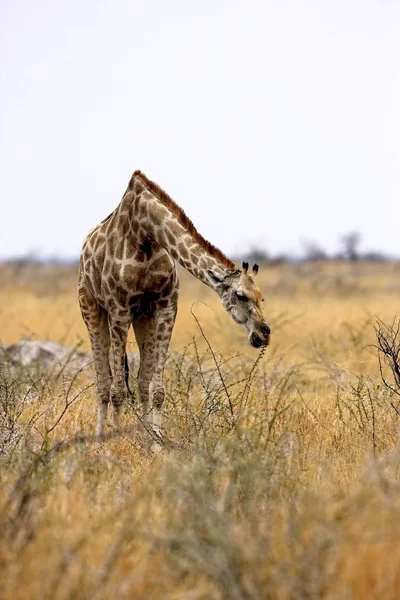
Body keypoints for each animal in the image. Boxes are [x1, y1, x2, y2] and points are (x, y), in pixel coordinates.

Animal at [77, 171, 272, 442]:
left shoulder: (166, 307)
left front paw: (156, 443)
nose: (264, 334)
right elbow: (118, 391)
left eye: (261, 297)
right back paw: (99, 440)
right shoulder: (119, 309)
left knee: (141, 383)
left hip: (142, 317)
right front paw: (115, 443)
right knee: (104, 384)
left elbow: (156, 389)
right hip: (92, 306)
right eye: (241, 295)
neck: (145, 233)